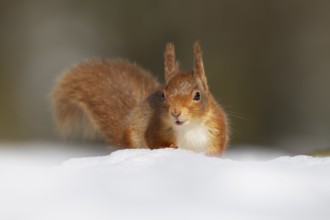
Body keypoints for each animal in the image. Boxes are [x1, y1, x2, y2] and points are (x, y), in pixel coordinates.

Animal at [51, 41, 229, 155]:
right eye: (163, 95)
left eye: (197, 95)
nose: (175, 113)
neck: (189, 128)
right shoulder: (155, 128)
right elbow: (153, 142)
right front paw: (170, 146)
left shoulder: (217, 130)